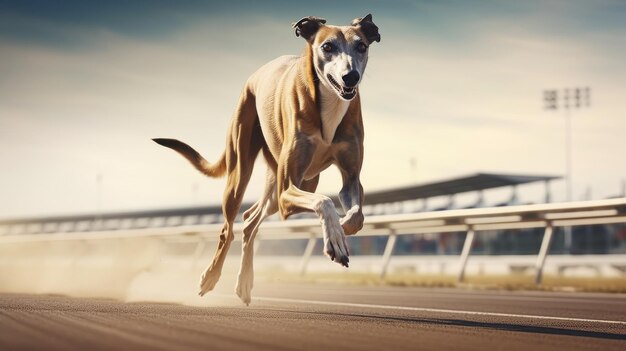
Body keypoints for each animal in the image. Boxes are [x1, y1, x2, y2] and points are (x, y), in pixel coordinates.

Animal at [155, 14, 380, 306]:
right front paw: (334, 236)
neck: (328, 104)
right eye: (327, 46)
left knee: (250, 220)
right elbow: (325, 202)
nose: (350, 76)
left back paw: (244, 283)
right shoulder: (287, 192)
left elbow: (356, 216)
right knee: (229, 228)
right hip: (242, 173)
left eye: (361, 46)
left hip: (296, 184)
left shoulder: (350, 179)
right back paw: (210, 277)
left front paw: (339, 233)